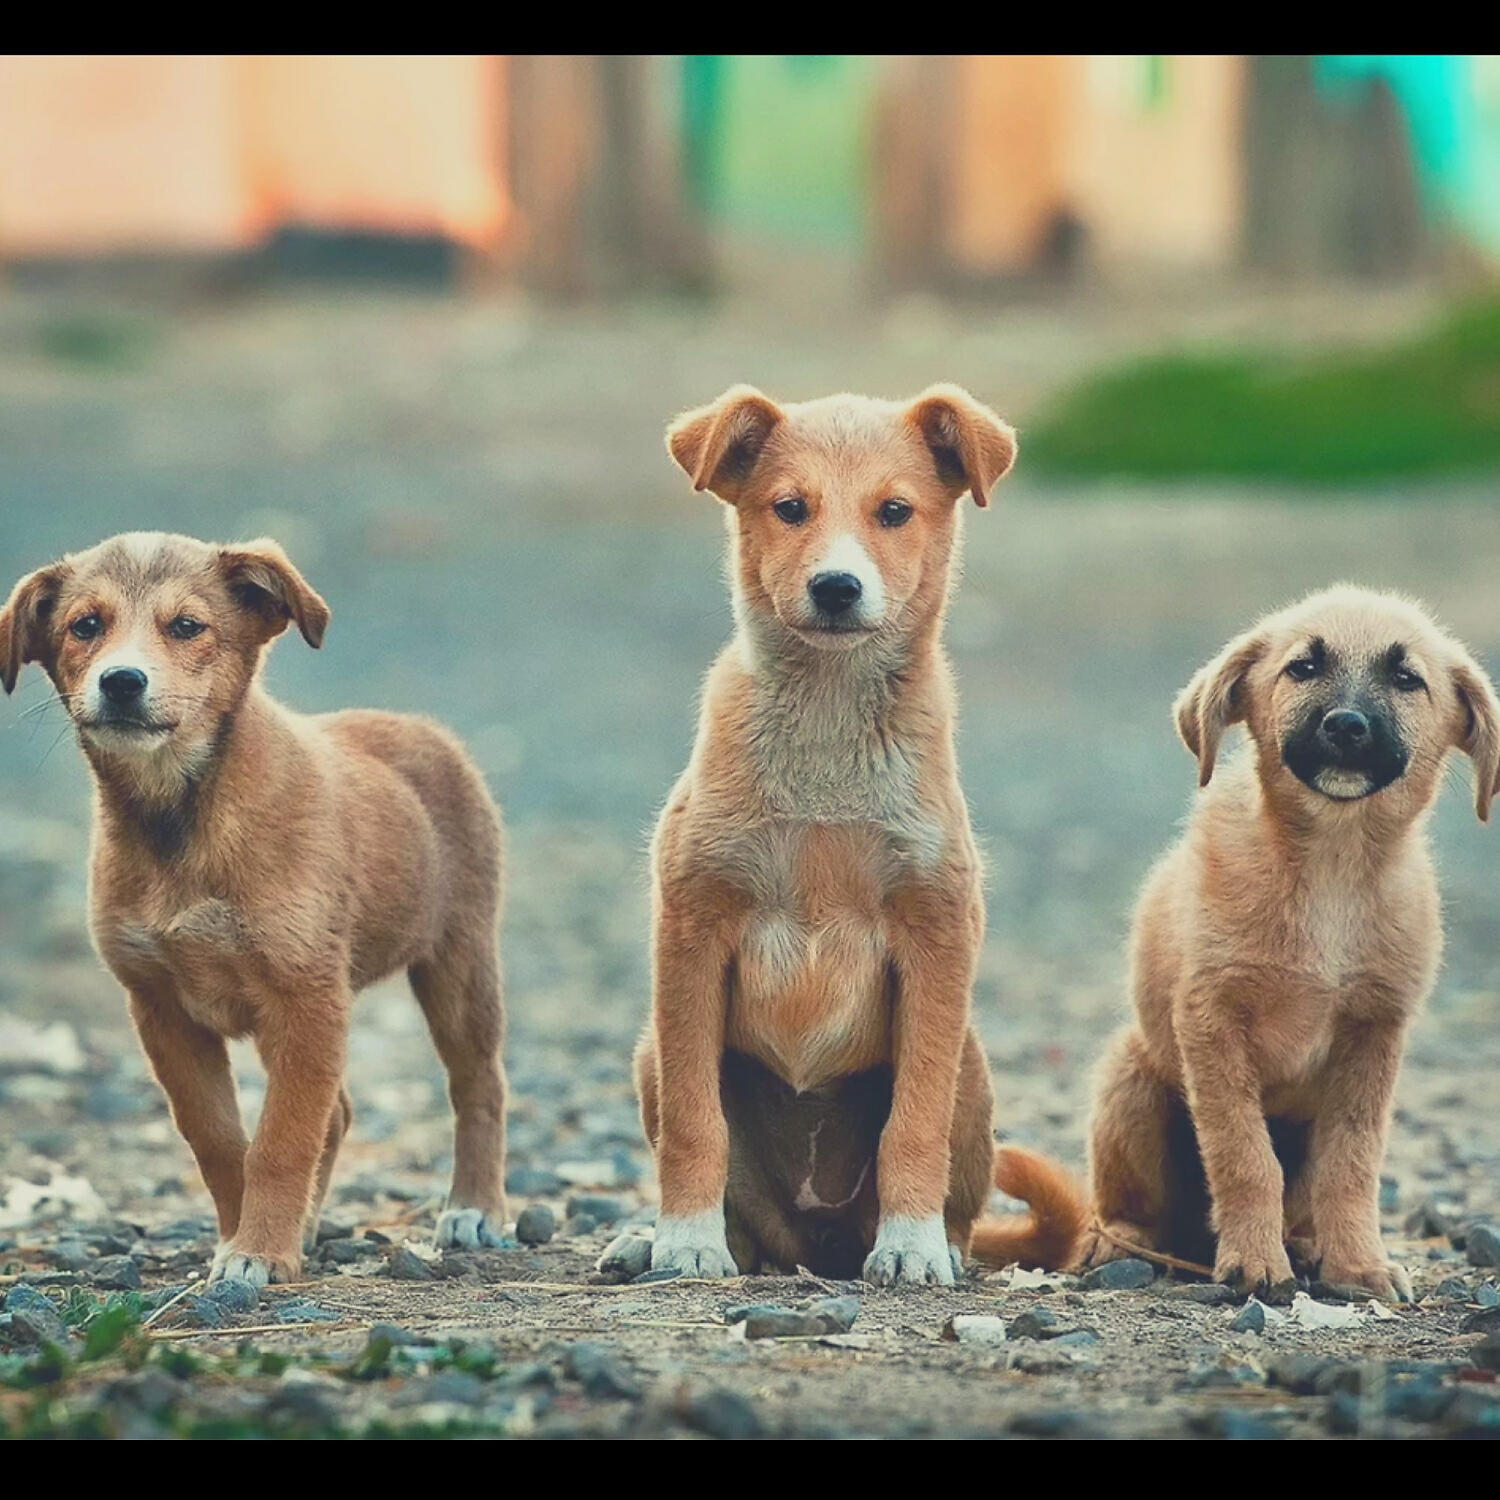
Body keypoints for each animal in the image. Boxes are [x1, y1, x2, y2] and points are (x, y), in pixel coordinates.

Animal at [0, 534, 510, 1284]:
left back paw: (475, 1209)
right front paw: (244, 1237)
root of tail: (418, 727)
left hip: (459, 963)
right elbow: (219, 1138)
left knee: (479, 1086)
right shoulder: (161, 1008)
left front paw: (261, 1251)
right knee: (339, 1114)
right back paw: (310, 1224)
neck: (180, 819)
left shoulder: (306, 999)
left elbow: (280, 1141)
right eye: (85, 626)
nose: (121, 682)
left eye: (187, 626)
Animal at [633, 381, 1020, 1284]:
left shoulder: (937, 933)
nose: (837, 587)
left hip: (972, 1064)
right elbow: (695, 1125)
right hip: (647, 1053)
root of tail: (815, 1242)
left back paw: (934, 1245)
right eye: (790, 508)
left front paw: (911, 1247)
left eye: (895, 511)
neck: (828, 730)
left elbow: (913, 1123)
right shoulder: (692, 927)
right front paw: (686, 1240)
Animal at [972, 585, 1500, 1302]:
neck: (1330, 868)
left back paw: (1305, 1246)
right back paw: (1125, 1245)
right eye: (1302, 667)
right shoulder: (1212, 1021)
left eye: (1405, 678)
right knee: (1125, 1209)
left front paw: (1357, 1264)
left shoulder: (1374, 1034)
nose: (1346, 726)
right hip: (1131, 1080)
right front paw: (1254, 1262)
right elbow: (1244, 1155)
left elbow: (1352, 1164)